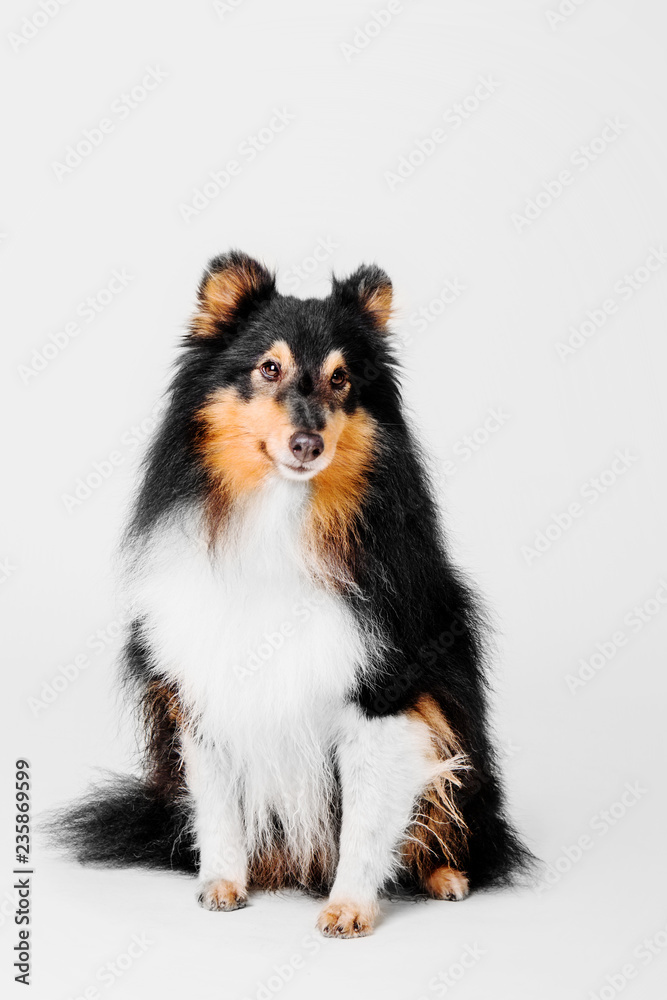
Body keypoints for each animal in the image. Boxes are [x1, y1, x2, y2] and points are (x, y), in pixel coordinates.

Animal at [54, 250, 536, 936]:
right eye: (269, 367)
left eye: (342, 379)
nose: (308, 445)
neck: (279, 519)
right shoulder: (205, 683)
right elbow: (219, 804)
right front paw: (222, 884)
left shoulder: (383, 694)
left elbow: (366, 819)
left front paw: (349, 908)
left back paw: (446, 877)